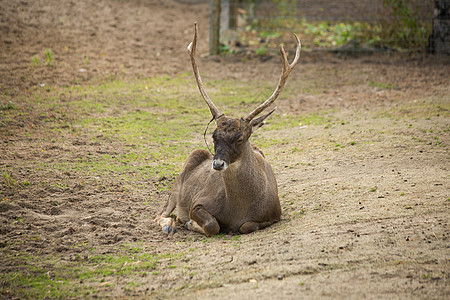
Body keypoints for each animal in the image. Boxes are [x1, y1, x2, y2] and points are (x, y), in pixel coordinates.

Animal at [156, 22, 302, 237]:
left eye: (240, 138)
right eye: (214, 136)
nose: (217, 164)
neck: (238, 209)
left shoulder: (275, 213)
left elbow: (247, 226)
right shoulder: (198, 202)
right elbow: (213, 225)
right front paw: (190, 223)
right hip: (179, 179)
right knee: (160, 213)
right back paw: (169, 224)